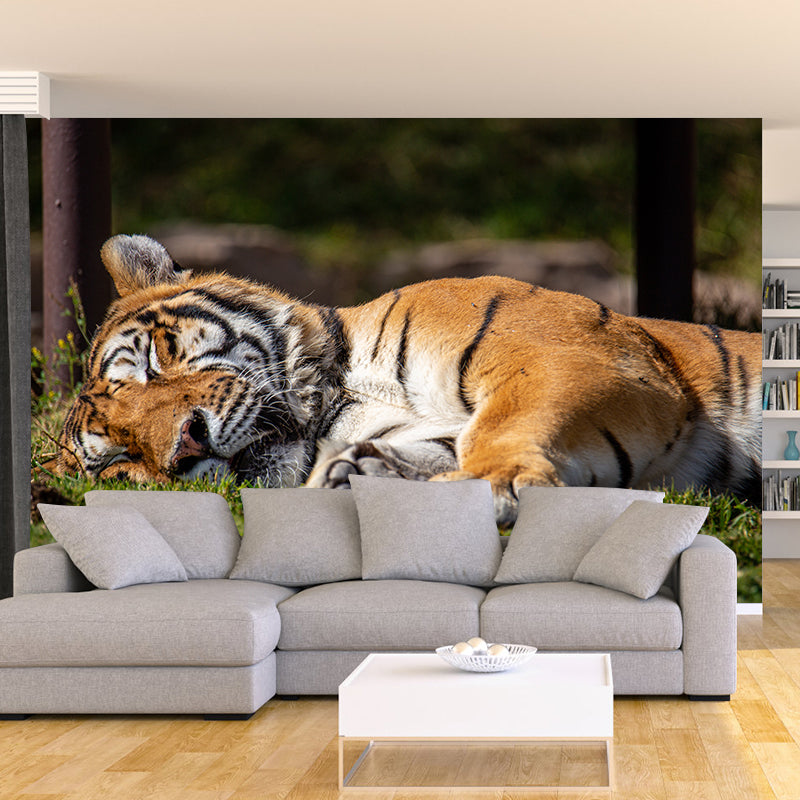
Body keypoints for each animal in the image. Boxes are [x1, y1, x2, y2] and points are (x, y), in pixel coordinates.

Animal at [47, 234, 762, 527]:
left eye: (153, 362)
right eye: (120, 462)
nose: (186, 445)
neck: (340, 398)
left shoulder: (570, 356)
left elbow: (505, 427)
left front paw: (490, 486)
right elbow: (439, 445)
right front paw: (365, 475)